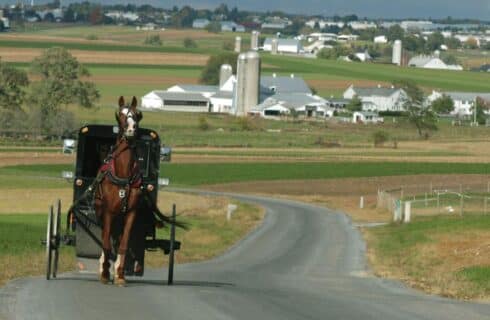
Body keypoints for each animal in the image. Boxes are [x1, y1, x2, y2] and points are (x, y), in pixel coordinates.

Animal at [94, 95, 144, 284]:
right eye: (120, 114)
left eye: (138, 114)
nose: (131, 129)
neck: (122, 175)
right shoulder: (108, 212)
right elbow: (106, 243)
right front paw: (105, 272)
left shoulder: (130, 213)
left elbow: (123, 244)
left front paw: (120, 274)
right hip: (102, 214)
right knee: (106, 238)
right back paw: (104, 266)